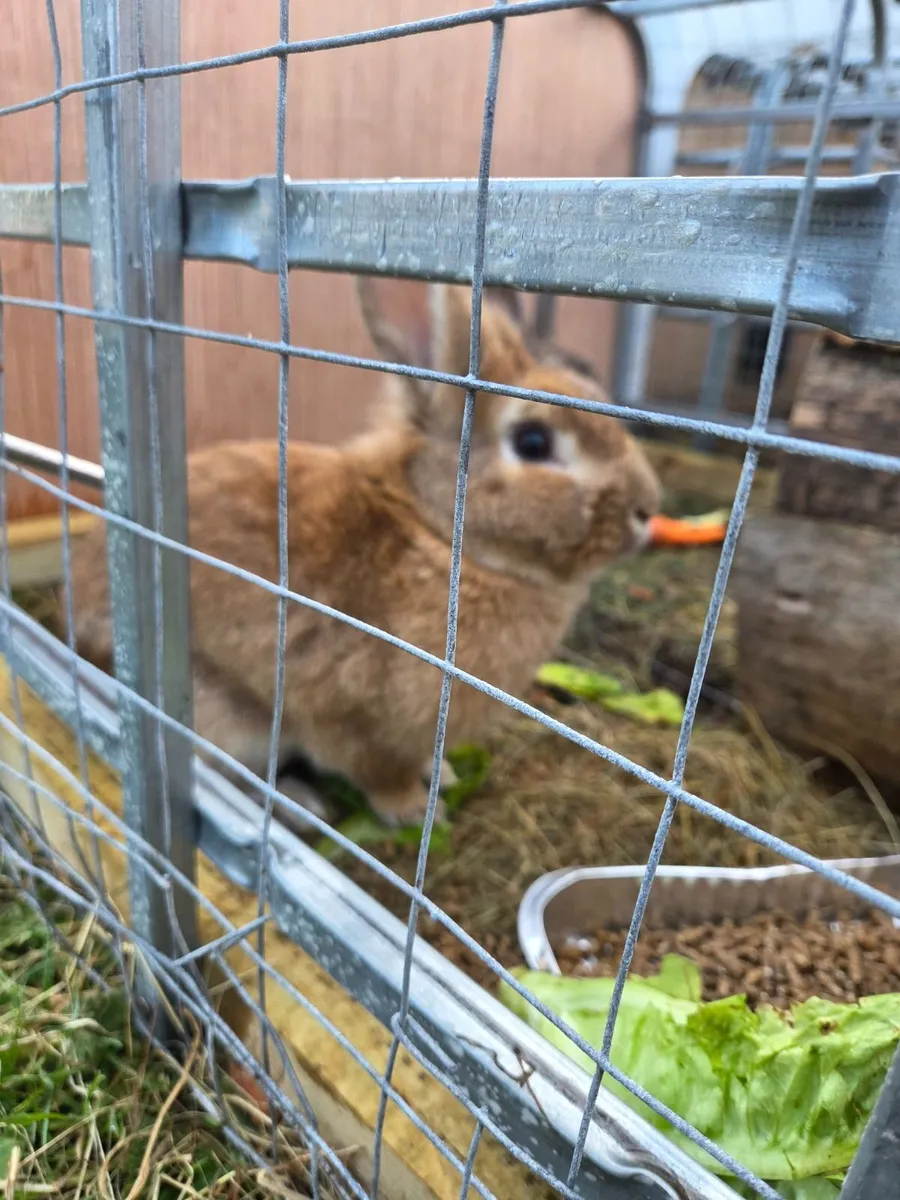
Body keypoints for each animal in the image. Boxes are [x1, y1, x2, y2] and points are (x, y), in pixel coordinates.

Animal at [65, 280, 660, 831]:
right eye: (533, 442)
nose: (647, 509)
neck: (441, 537)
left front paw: (442, 774)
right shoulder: (353, 717)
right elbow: (375, 770)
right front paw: (413, 810)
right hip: (223, 714)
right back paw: (302, 806)